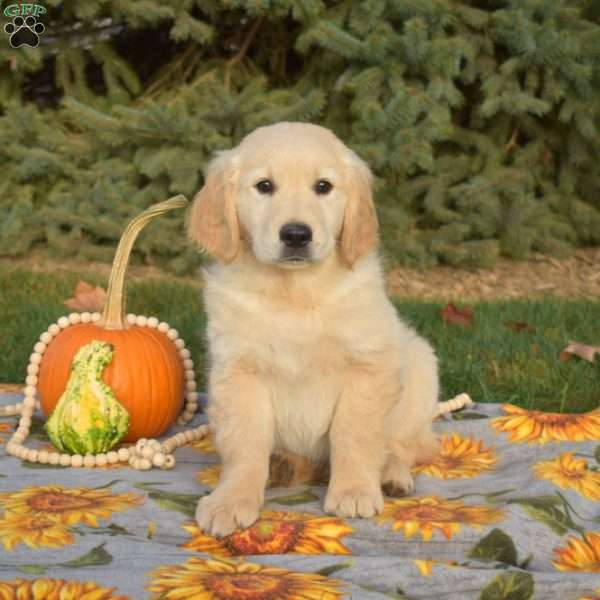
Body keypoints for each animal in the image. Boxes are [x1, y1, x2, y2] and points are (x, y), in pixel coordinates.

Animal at [189, 119, 440, 536]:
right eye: (264, 186)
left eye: (323, 186)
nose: (296, 234)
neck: (295, 293)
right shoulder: (238, 372)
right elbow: (245, 441)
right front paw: (232, 499)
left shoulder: (368, 365)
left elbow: (353, 433)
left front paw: (354, 490)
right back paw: (282, 465)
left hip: (420, 369)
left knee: (407, 445)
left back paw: (391, 475)